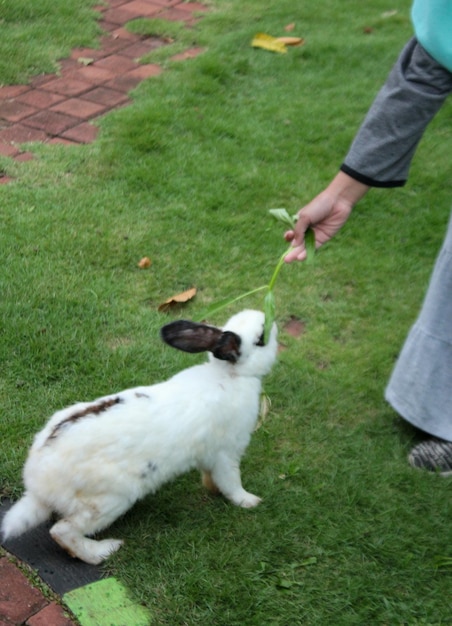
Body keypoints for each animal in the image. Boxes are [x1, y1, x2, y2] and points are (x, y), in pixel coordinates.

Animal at [2, 310, 278, 564]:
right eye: (261, 338)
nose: (268, 316)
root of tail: (37, 486)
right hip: (109, 501)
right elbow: (231, 483)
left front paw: (212, 489)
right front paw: (250, 501)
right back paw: (105, 550)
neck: (231, 375)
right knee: (63, 532)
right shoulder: (227, 453)